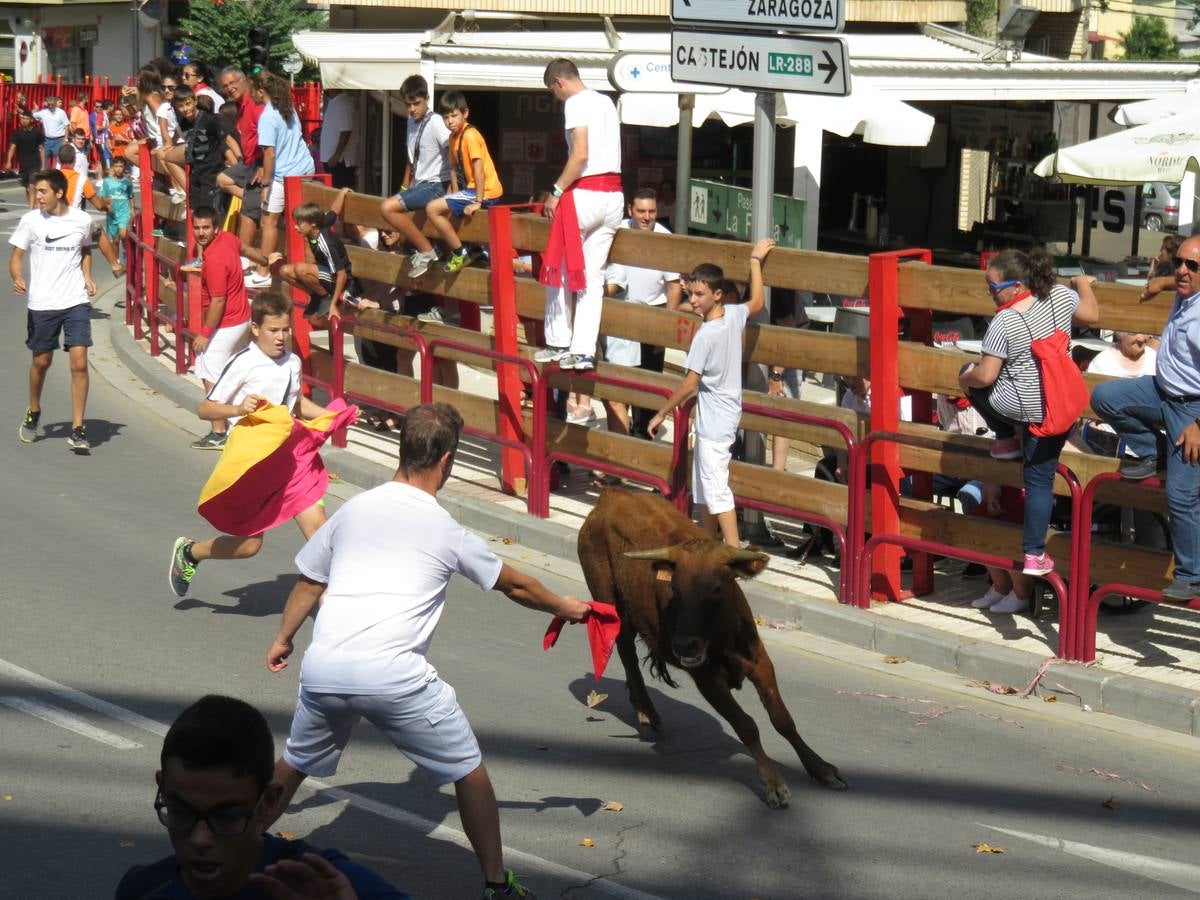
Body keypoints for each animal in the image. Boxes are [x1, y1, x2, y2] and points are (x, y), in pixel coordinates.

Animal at [578, 489, 844, 806]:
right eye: (675, 588)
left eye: (717, 588)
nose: (683, 645)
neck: (723, 636)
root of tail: (612, 494)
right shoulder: (707, 678)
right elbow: (746, 725)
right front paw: (773, 782)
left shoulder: (760, 662)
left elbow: (783, 720)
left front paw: (820, 768)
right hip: (608, 600)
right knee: (626, 652)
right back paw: (647, 711)